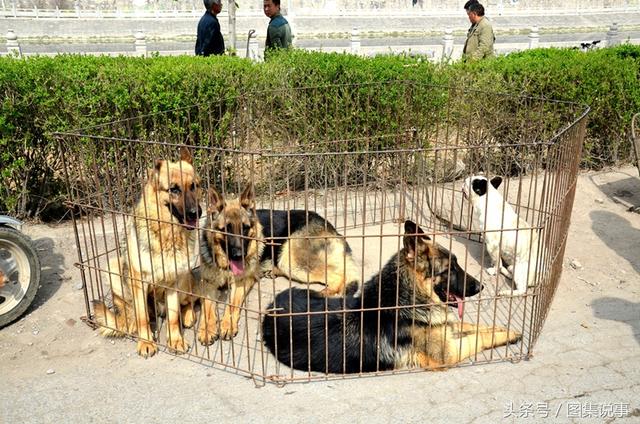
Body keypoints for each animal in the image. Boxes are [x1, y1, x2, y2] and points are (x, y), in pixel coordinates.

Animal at [92, 147, 200, 356]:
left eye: (194, 186)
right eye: (174, 189)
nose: (196, 212)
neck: (167, 234)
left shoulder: (174, 282)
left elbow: (173, 318)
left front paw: (175, 340)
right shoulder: (139, 283)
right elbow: (142, 316)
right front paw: (146, 342)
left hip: (185, 278)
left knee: (188, 302)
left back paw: (188, 316)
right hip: (114, 268)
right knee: (134, 313)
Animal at [199, 186, 360, 344]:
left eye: (245, 228)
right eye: (226, 229)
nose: (239, 255)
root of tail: (331, 228)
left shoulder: (242, 281)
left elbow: (232, 304)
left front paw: (227, 324)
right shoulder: (207, 282)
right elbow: (206, 305)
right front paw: (206, 329)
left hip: (290, 260)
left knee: (338, 277)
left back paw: (321, 294)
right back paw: (272, 271)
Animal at [262, 220, 524, 372]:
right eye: (450, 270)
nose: (481, 286)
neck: (407, 302)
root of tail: (270, 308)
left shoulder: (446, 327)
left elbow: (477, 326)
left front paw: (506, 329)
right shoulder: (448, 354)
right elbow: (479, 337)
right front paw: (509, 335)